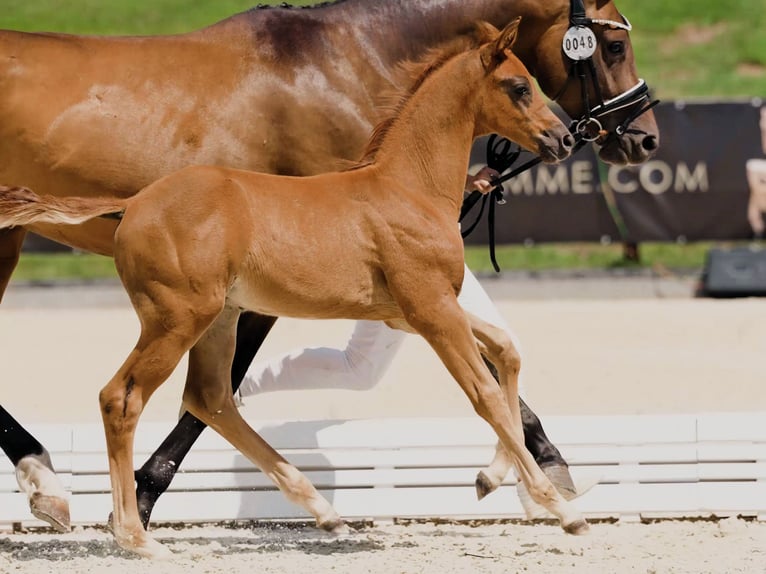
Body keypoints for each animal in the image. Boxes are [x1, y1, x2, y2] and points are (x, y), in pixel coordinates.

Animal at [0, 0, 659, 531]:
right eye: (519, 87)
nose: (637, 140)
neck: (404, 183)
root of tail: (134, 203)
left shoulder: (412, 312)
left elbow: (506, 354)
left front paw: (499, 477)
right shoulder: (430, 309)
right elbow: (487, 393)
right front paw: (557, 502)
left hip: (209, 314)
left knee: (210, 398)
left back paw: (318, 509)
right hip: (177, 315)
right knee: (133, 397)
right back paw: (92, 507)